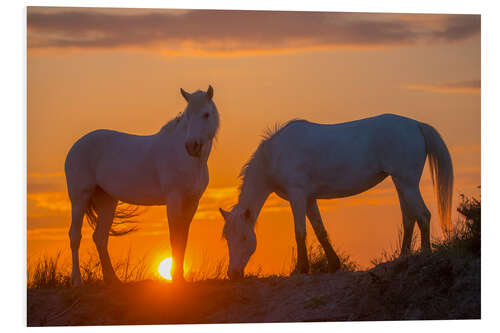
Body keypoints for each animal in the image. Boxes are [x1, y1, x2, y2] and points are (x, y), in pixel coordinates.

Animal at [64, 84, 219, 284]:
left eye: (206, 114)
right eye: (187, 116)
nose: (191, 146)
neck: (188, 160)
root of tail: (75, 147)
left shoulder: (192, 202)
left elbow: (183, 235)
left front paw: (181, 278)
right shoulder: (174, 199)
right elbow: (174, 235)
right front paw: (175, 278)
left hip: (107, 200)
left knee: (100, 237)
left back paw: (113, 280)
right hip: (79, 198)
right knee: (75, 236)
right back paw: (77, 280)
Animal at [219, 114, 454, 278]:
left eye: (243, 237)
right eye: (227, 238)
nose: (233, 274)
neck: (275, 154)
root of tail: (416, 125)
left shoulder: (298, 195)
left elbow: (300, 232)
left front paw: (300, 269)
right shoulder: (309, 198)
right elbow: (319, 230)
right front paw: (334, 264)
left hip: (407, 183)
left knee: (423, 216)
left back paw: (424, 255)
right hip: (401, 184)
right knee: (409, 219)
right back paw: (402, 257)